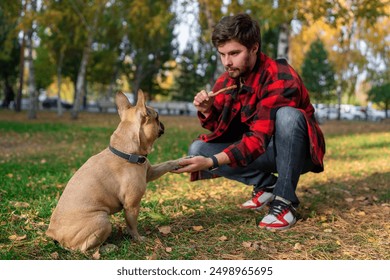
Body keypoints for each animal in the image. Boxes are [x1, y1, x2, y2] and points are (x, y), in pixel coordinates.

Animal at [46, 89, 183, 252]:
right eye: (157, 116)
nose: (162, 123)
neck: (127, 152)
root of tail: (54, 235)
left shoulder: (149, 172)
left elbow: (166, 163)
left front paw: (182, 161)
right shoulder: (132, 205)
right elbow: (132, 225)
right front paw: (138, 239)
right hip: (102, 220)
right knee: (85, 249)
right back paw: (108, 247)